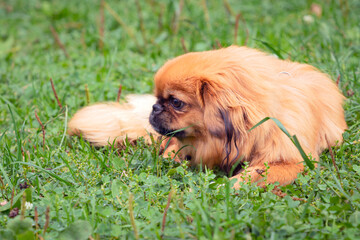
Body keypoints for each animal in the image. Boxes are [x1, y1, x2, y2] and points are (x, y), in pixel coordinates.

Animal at [67, 45, 346, 188]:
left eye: (176, 102)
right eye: (158, 99)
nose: (155, 108)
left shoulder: (294, 161)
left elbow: (258, 173)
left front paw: (233, 186)